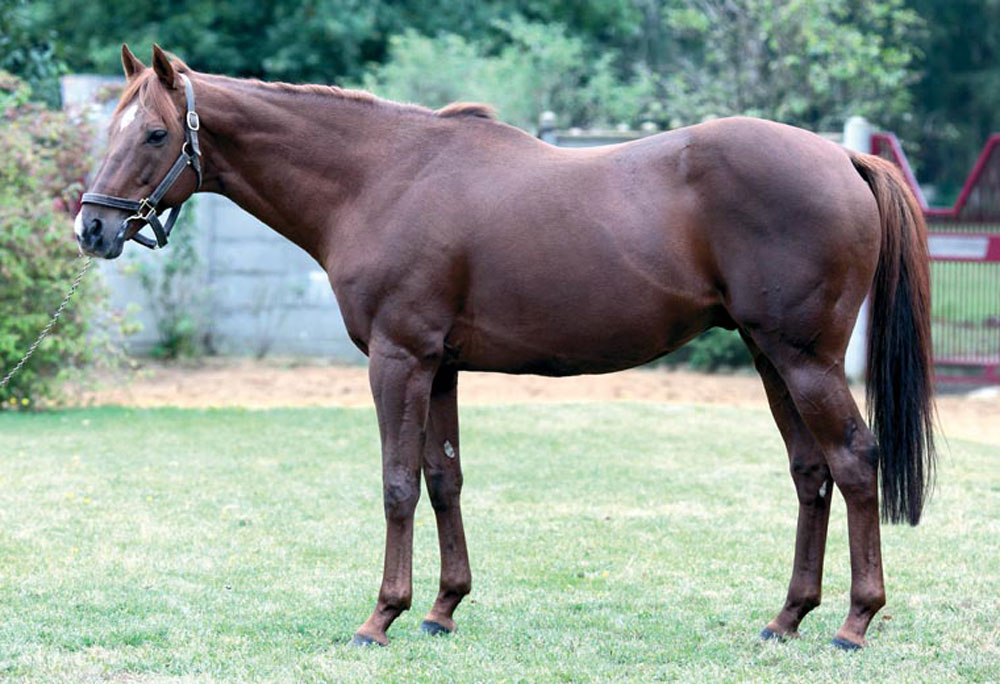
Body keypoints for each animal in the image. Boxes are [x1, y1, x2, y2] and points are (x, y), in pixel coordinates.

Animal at [78, 45, 936, 648]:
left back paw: (854, 623)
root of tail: (843, 156)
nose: (91, 227)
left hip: (804, 359)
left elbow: (397, 485)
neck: (379, 178)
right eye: (110, 129)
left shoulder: (398, 360)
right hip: (770, 357)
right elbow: (444, 480)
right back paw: (787, 618)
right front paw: (441, 609)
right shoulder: (441, 367)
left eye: (154, 132)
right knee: (811, 474)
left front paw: (380, 618)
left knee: (855, 462)